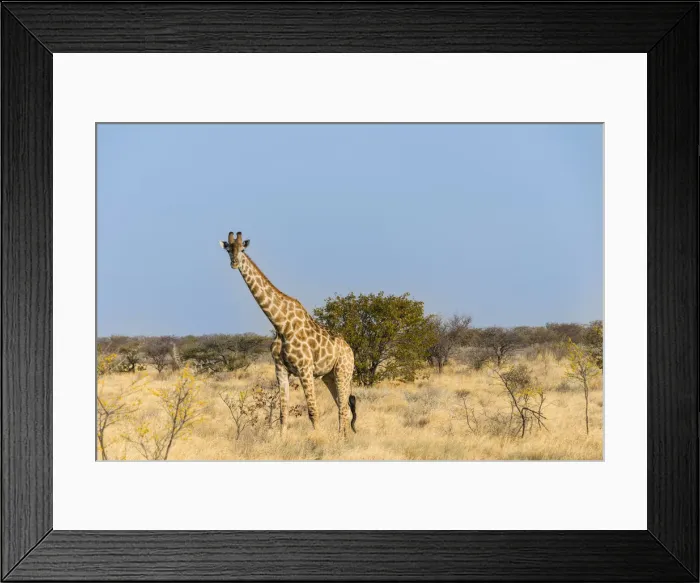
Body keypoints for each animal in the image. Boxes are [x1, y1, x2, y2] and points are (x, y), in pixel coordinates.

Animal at [219, 231, 357, 435]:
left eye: (242, 249)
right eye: (228, 249)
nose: (234, 263)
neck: (281, 326)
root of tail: (350, 350)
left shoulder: (305, 369)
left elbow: (313, 411)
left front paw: (317, 439)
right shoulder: (281, 369)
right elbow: (283, 412)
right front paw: (281, 439)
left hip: (343, 371)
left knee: (344, 408)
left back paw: (341, 439)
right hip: (329, 376)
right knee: (343, 405)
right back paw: (343, 438)